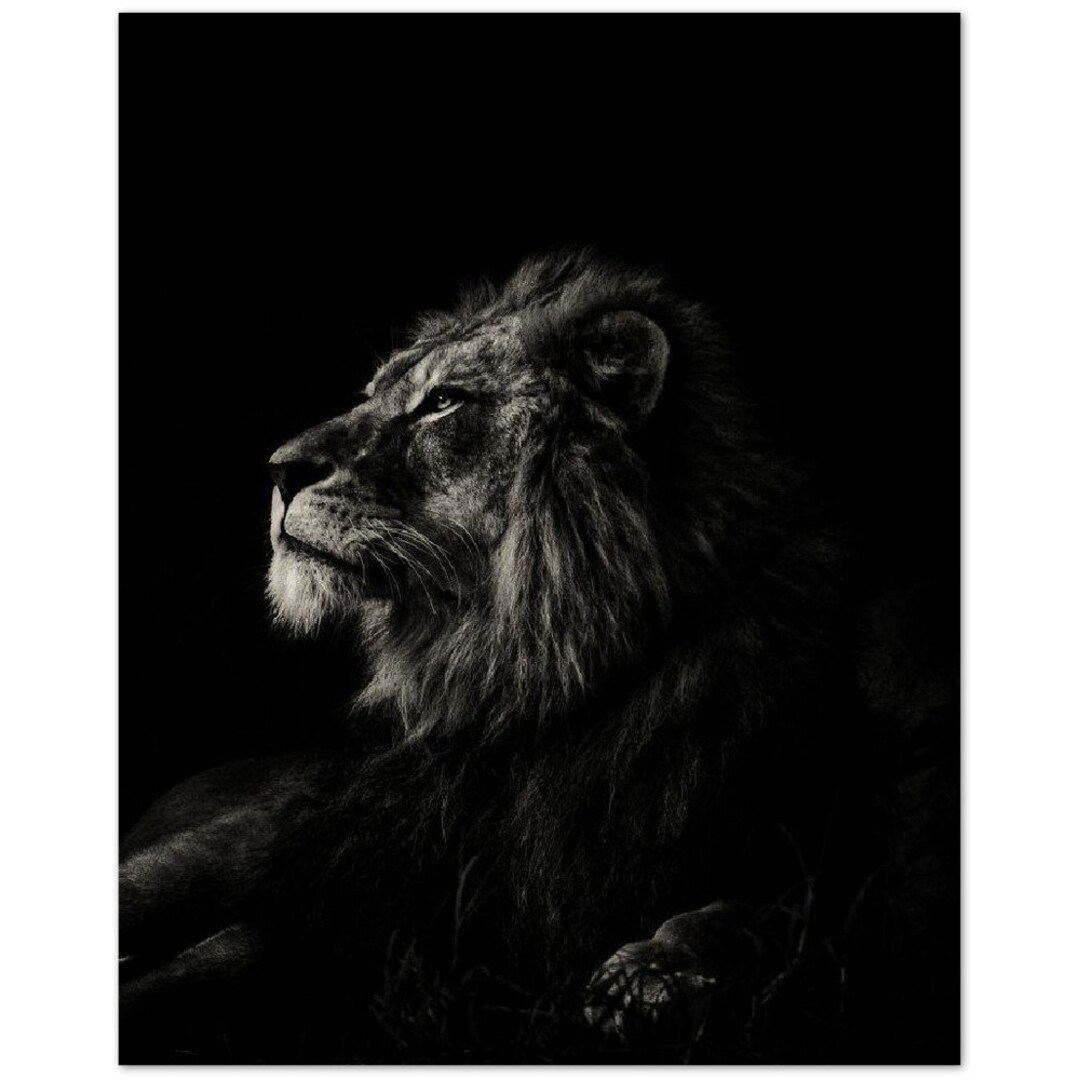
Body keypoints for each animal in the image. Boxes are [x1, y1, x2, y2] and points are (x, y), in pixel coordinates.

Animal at [120, 251, 957, 1062]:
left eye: (444, 401)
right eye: (376, 393)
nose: (278, 469)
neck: (547, 687)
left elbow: (783, 922)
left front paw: (653, 974)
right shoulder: (370, 883)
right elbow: (217, 961)